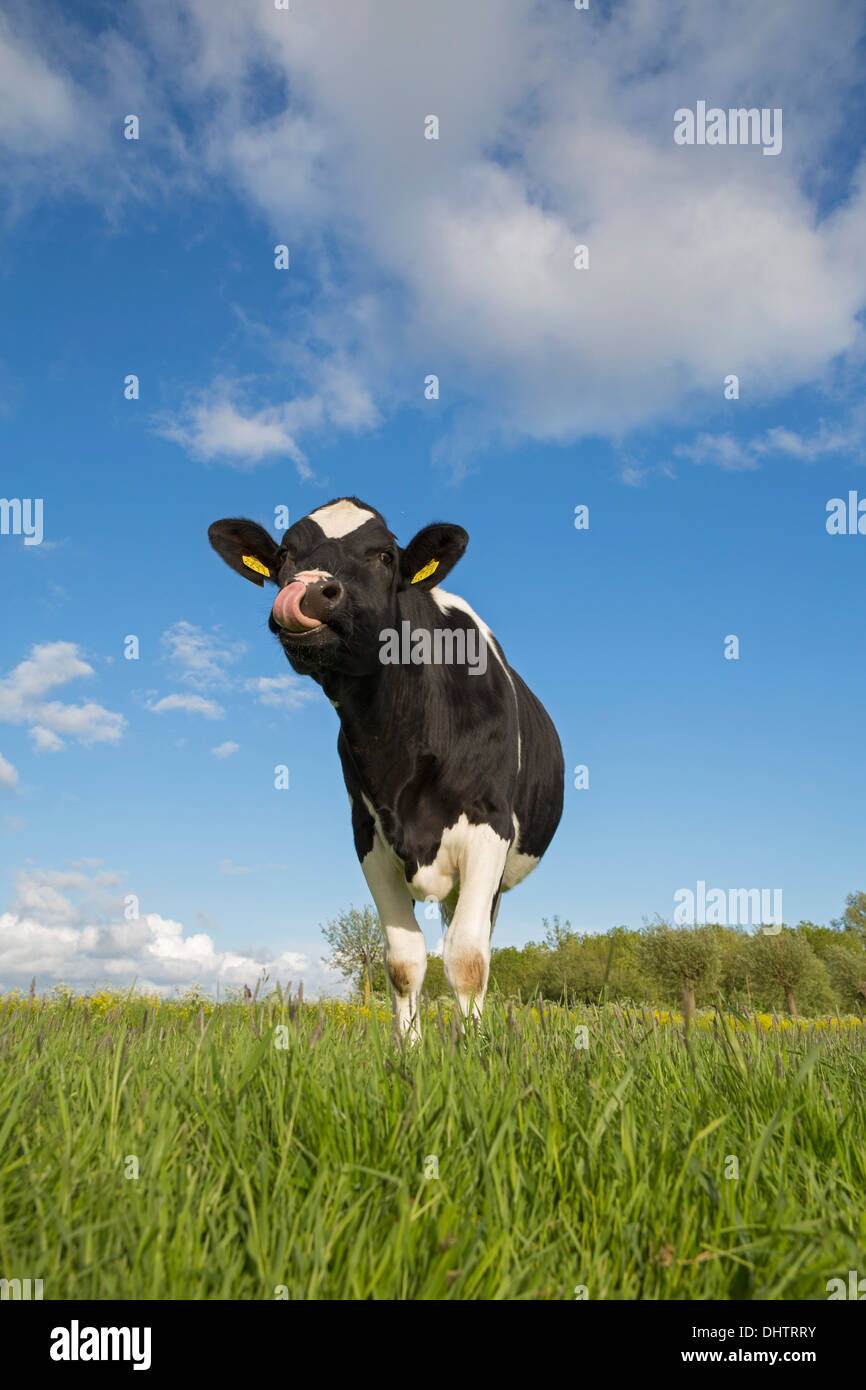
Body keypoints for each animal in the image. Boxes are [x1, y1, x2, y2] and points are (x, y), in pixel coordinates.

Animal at [207, 500, 567, 1034]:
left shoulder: (490, 827)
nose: (310, 589)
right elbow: (404, 960)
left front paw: (474, 1049)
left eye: (383, 556)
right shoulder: (369, 837)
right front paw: (410, 1047)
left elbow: (467, 957)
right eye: (284, 553)